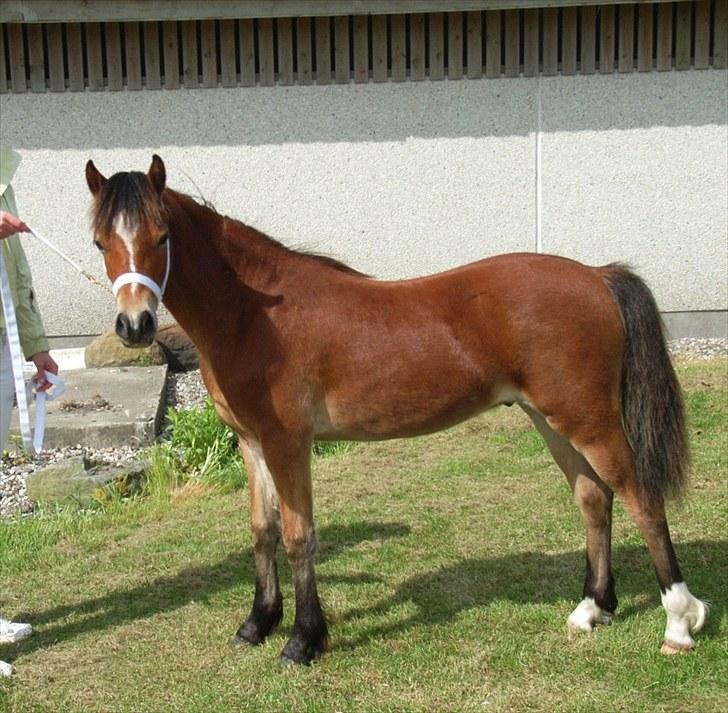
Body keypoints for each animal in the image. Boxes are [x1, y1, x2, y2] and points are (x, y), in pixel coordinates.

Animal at [85, 155, 707, 665]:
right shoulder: (251, 442)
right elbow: (262, 531)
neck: (255, 316)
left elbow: (298, 536)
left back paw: (680, 623)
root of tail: (598, 276)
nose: (135, 326)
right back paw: (591, 609)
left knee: (642, 499)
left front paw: (303, 640)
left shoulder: (289, 444)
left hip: (589, 421)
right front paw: (256, 625)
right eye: (99, 242)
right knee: (593, 499)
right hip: (551, 421)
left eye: (163, 236)